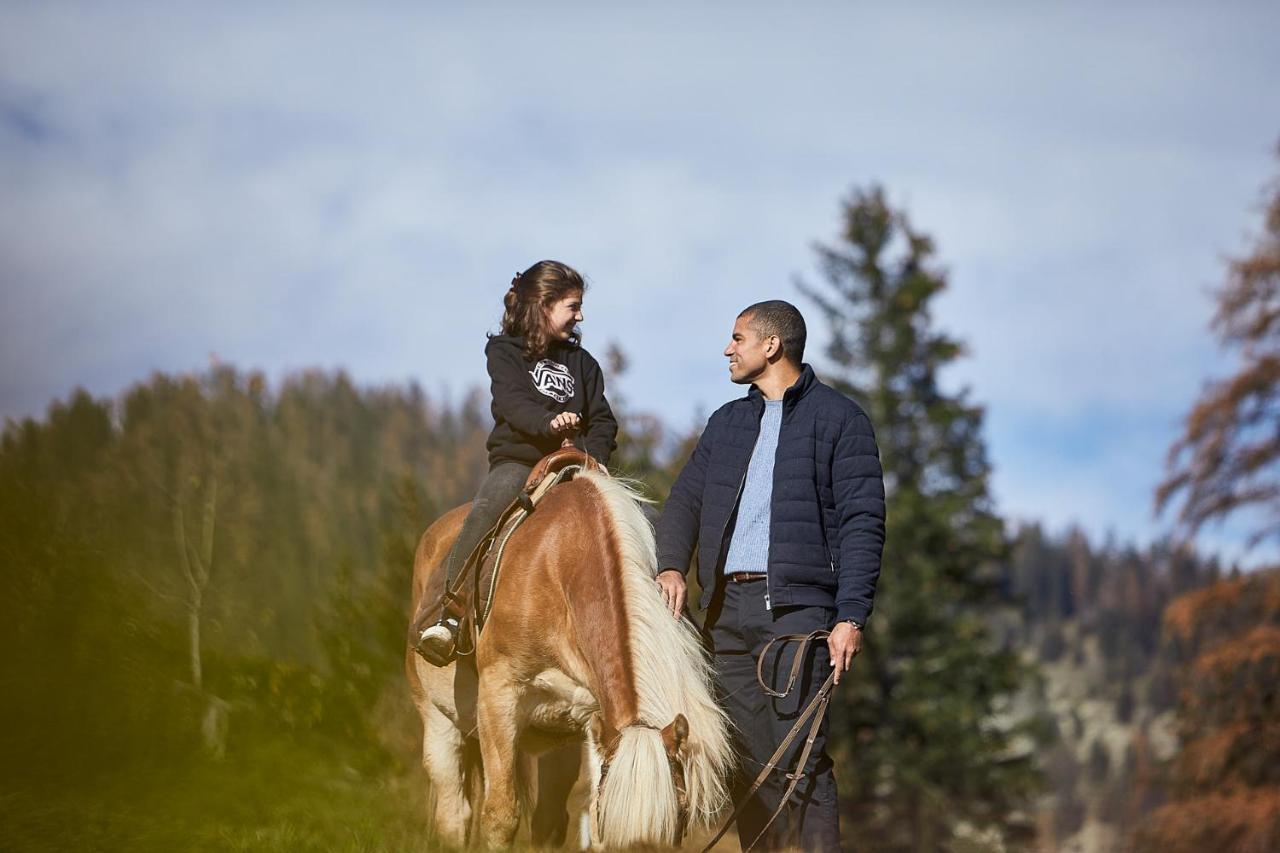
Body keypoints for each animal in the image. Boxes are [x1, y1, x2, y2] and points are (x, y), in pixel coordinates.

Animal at [404, 468, 737, 845]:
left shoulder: (595, 720)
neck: (560, 569)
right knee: (455, 817)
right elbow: (500, 817)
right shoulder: (497, 699)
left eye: (679, 818)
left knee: (547, 820)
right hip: (438, 721)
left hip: (558, 740)